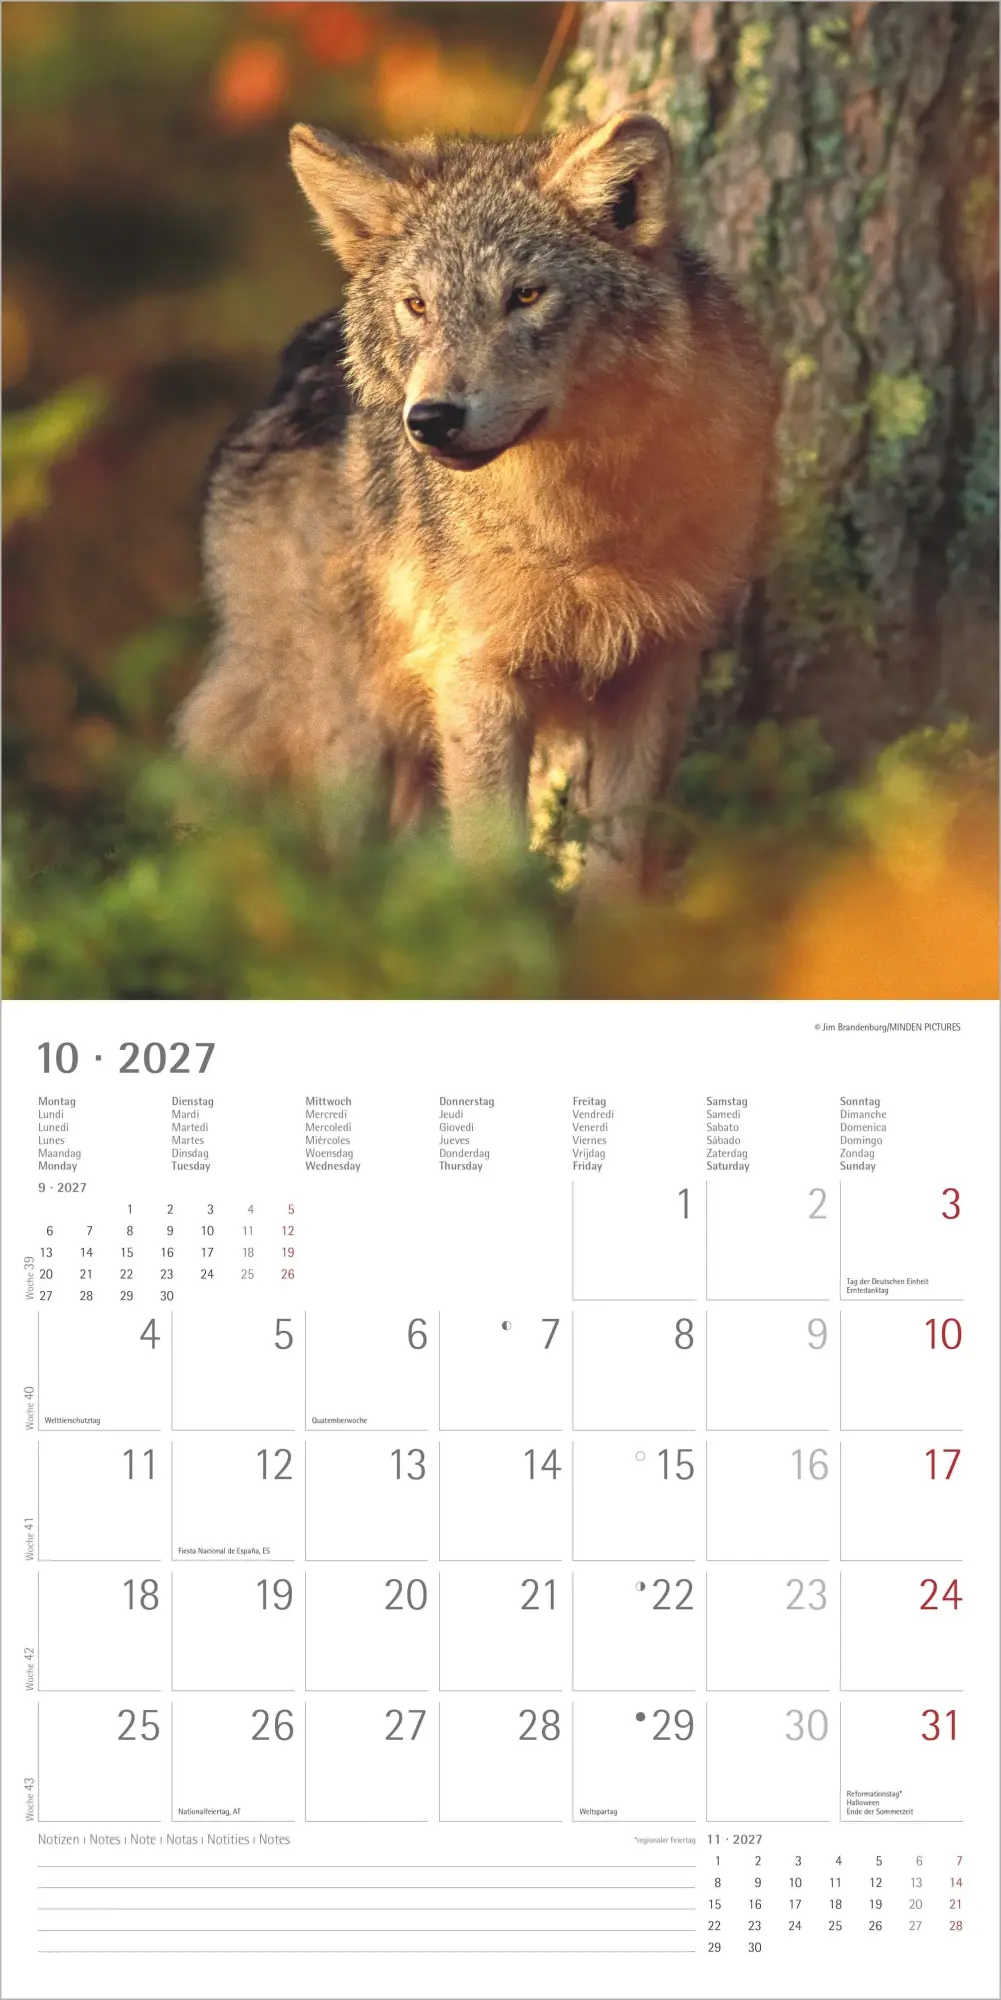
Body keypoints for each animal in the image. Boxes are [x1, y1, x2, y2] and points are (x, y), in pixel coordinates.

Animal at [176, 111, 777, 893]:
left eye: (525, 296)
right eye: (417, 305)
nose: (431, 419)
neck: (577, 530)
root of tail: (281, 380)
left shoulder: (653, 667)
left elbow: (617, 856)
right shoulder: (476, 678)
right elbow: (494, 859)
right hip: (351, 726)